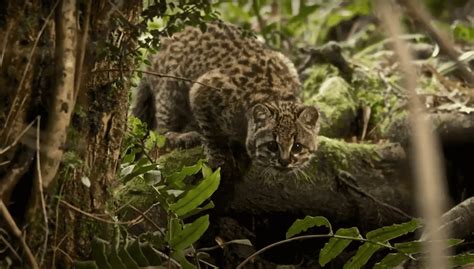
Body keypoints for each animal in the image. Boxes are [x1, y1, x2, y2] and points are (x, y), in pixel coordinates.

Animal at [132, 21, 318, 172]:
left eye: (298, 147)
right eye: (272, 145)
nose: (285, 162)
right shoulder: (203, 88)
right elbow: (212, 132)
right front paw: (219, 157)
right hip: (171, 94)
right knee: (159, 138)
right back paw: (181, 137)